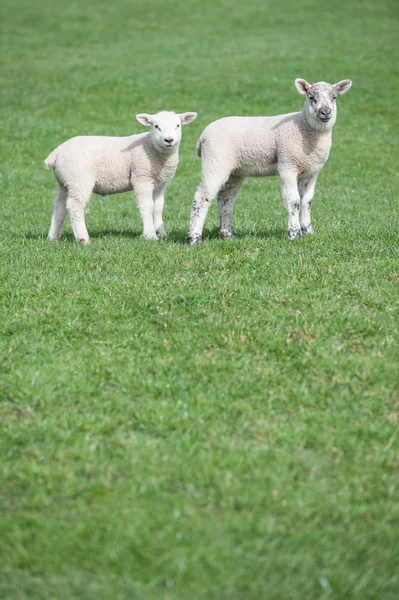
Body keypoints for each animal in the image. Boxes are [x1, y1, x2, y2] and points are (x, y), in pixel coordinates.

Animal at [44, 110, 198, 244]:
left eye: (177, 125)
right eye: (156, 126)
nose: (169, 140)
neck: (152, 148)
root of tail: (56, 152)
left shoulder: (161, 184)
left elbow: (158, 208)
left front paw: (162, 234)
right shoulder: (141, 177)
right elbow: (147, 206)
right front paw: (150, 235)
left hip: (65, 182)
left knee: (60, 206)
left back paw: (53, 237)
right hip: (79, 180)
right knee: (75, 206)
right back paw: (83, 239)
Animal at [186, 78, 352, 245]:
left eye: (334, 97)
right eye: (311, 97)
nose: (325, 112)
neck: (305, 127)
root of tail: (202, 137)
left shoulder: (311, 171)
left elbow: (307, 201)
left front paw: (308, 232)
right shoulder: (287, 165)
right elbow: (293, 201)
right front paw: (294, 233)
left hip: (234, 171)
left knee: (226, 199)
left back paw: (227, 234)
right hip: (215, 161)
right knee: (201, 198)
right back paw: (194, 238)